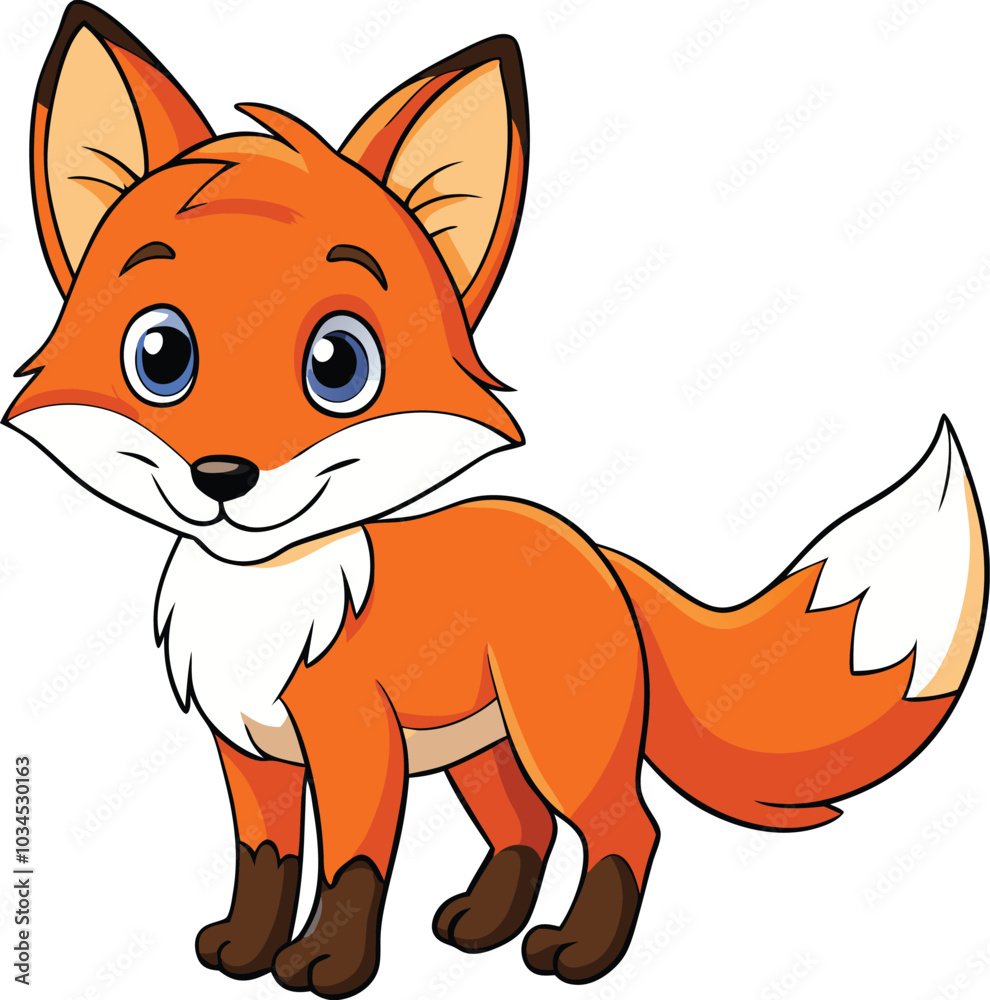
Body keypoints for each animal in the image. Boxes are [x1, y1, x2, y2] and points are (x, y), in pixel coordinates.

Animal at [5, 3, 987, 997]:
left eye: (338, 364)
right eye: (160, 356)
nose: (222, 476)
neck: (264, 604)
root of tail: (590, 548)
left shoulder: (359, 745)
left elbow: (350, 866)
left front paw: (326, 964)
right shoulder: (250, 755)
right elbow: (265, 861)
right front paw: (243, 952)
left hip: (557, 741)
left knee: (626, 828)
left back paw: (579, 953)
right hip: (484, 751)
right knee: (528, 829)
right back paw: (484, 928)